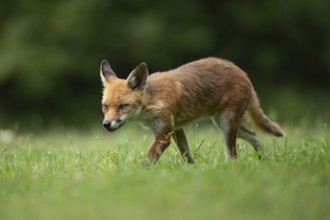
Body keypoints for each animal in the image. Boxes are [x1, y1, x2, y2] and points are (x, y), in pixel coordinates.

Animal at [99, 57, 284, 163]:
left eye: (123, 106)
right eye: (105, 106)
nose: (106, 124)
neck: (153, 101)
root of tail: (242, 72)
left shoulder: (163, 136)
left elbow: (148, 160)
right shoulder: (176, 129)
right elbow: (187, 155)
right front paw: (191, 172)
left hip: (227, 124)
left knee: (233, 154)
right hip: (223, 123)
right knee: (254, 136)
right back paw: (264, 160)